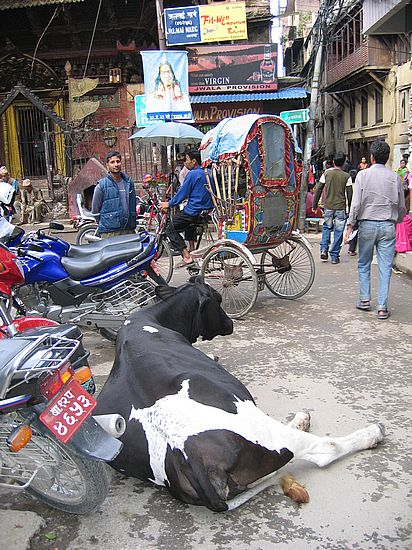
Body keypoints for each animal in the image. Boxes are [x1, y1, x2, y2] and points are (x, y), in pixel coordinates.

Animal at [95, 278, 384, 516]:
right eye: (218, 300)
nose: (231, 323)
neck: (150, 320)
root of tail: (183, 454)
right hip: (262, 428)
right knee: (322, 448)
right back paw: (369, 432)